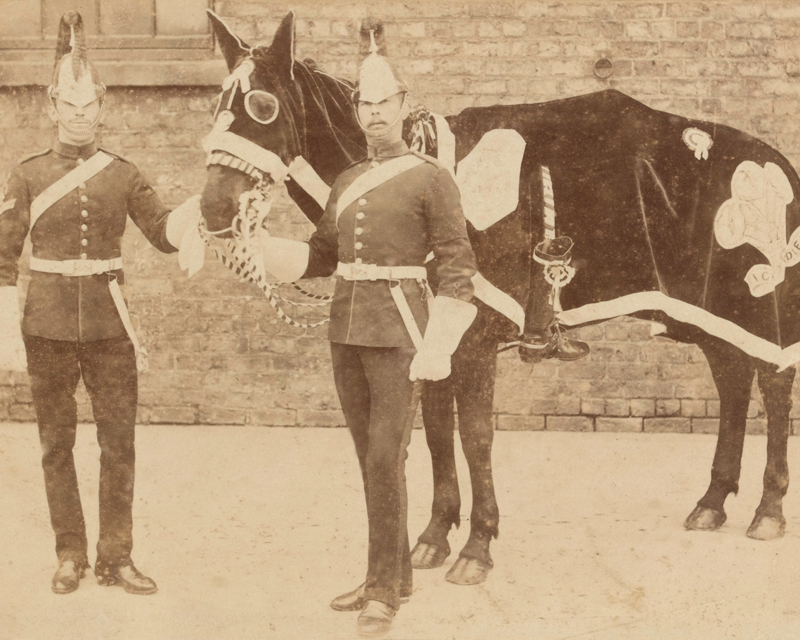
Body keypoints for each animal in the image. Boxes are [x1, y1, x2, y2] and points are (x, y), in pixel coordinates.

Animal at [197, 10, 800, 588]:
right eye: (217, 105)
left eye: (263, 105)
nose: (213, 211)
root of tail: (778, 161)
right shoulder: (430, 344)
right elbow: (438, 434)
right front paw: (434, 536)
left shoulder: (473, 344)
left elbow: (476, 437)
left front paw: (477, 546)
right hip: (706, 315)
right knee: (732, 380)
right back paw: (713, 501)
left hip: (762, 307)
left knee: (773, 385)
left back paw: (768, 509)